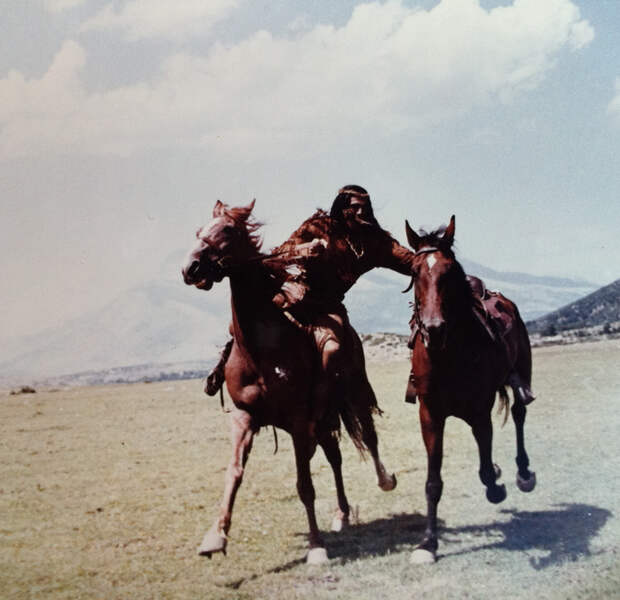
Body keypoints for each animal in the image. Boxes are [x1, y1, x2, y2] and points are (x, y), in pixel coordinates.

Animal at [182, 199, 394, 564]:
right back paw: (341, 514)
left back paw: (383, 480)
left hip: (350, 395)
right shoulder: (244, 417)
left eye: (228, 230)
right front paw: (215, 537)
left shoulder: (297, 420)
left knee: (366, 435)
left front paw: (316, 547)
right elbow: (233, 472)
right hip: (320, 422)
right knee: (334, 456)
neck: (261, 349)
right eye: (200, 231)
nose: (190, 268)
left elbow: (304, 484)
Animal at [404, 216, 536, 564]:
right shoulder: (430, 415)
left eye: (450, 272)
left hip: (523, 371)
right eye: (414, 271)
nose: (433, 329)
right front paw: (428, 542)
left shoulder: (480, 412)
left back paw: (523, 473)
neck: (448, 354)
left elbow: (486, 471)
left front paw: (497, 486)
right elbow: (433, 482)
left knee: (519, 413)